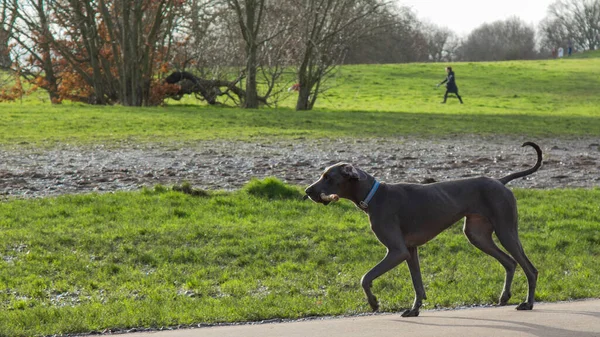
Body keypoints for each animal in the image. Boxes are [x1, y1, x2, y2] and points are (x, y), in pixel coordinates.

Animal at [304, 140, 544, 316]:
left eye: (328, 177)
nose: (307, 191)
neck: (374, 196)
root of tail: (501, 181)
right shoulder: (410, 250)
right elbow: (417, 283)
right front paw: (414, 309)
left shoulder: (397, 251)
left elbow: (365, 277)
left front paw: (374, 303)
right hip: (477, 234)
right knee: (510, 262)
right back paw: (505, 296)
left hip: (506, 230)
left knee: (530, 268)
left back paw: (528, 303)